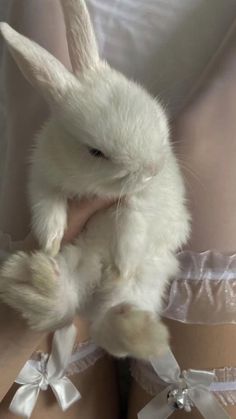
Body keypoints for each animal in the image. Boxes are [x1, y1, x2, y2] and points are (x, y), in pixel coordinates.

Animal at [0, 0, 190, 360]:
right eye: (96, 151)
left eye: (149, 103)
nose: (154, 167)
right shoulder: (42, 176)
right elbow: (47, 206)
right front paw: (50, 239)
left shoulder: (142, 199)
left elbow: (132, 220)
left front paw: (123, 262)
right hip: (78, 262)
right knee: (72, 304)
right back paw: (35, 282)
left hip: (146, 279)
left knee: (110, 318)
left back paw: (136, 328)